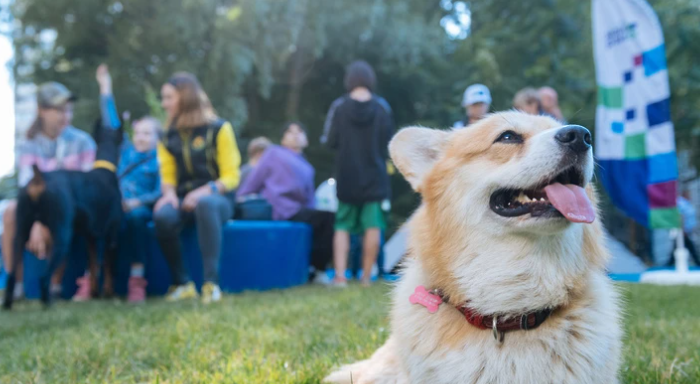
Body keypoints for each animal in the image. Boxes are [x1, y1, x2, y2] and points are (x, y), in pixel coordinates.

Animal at [3, 124, 124, 310]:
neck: (104, 170)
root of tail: (39, 177)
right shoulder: (112, 235)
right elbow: (108, 266)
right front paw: (110, 293)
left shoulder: (90, 238)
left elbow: (92, 266)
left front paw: (95, 294)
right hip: (62, 235)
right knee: (43, 277)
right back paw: (48, 303)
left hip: (21, 234)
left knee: (11, 274)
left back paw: (8, 304)